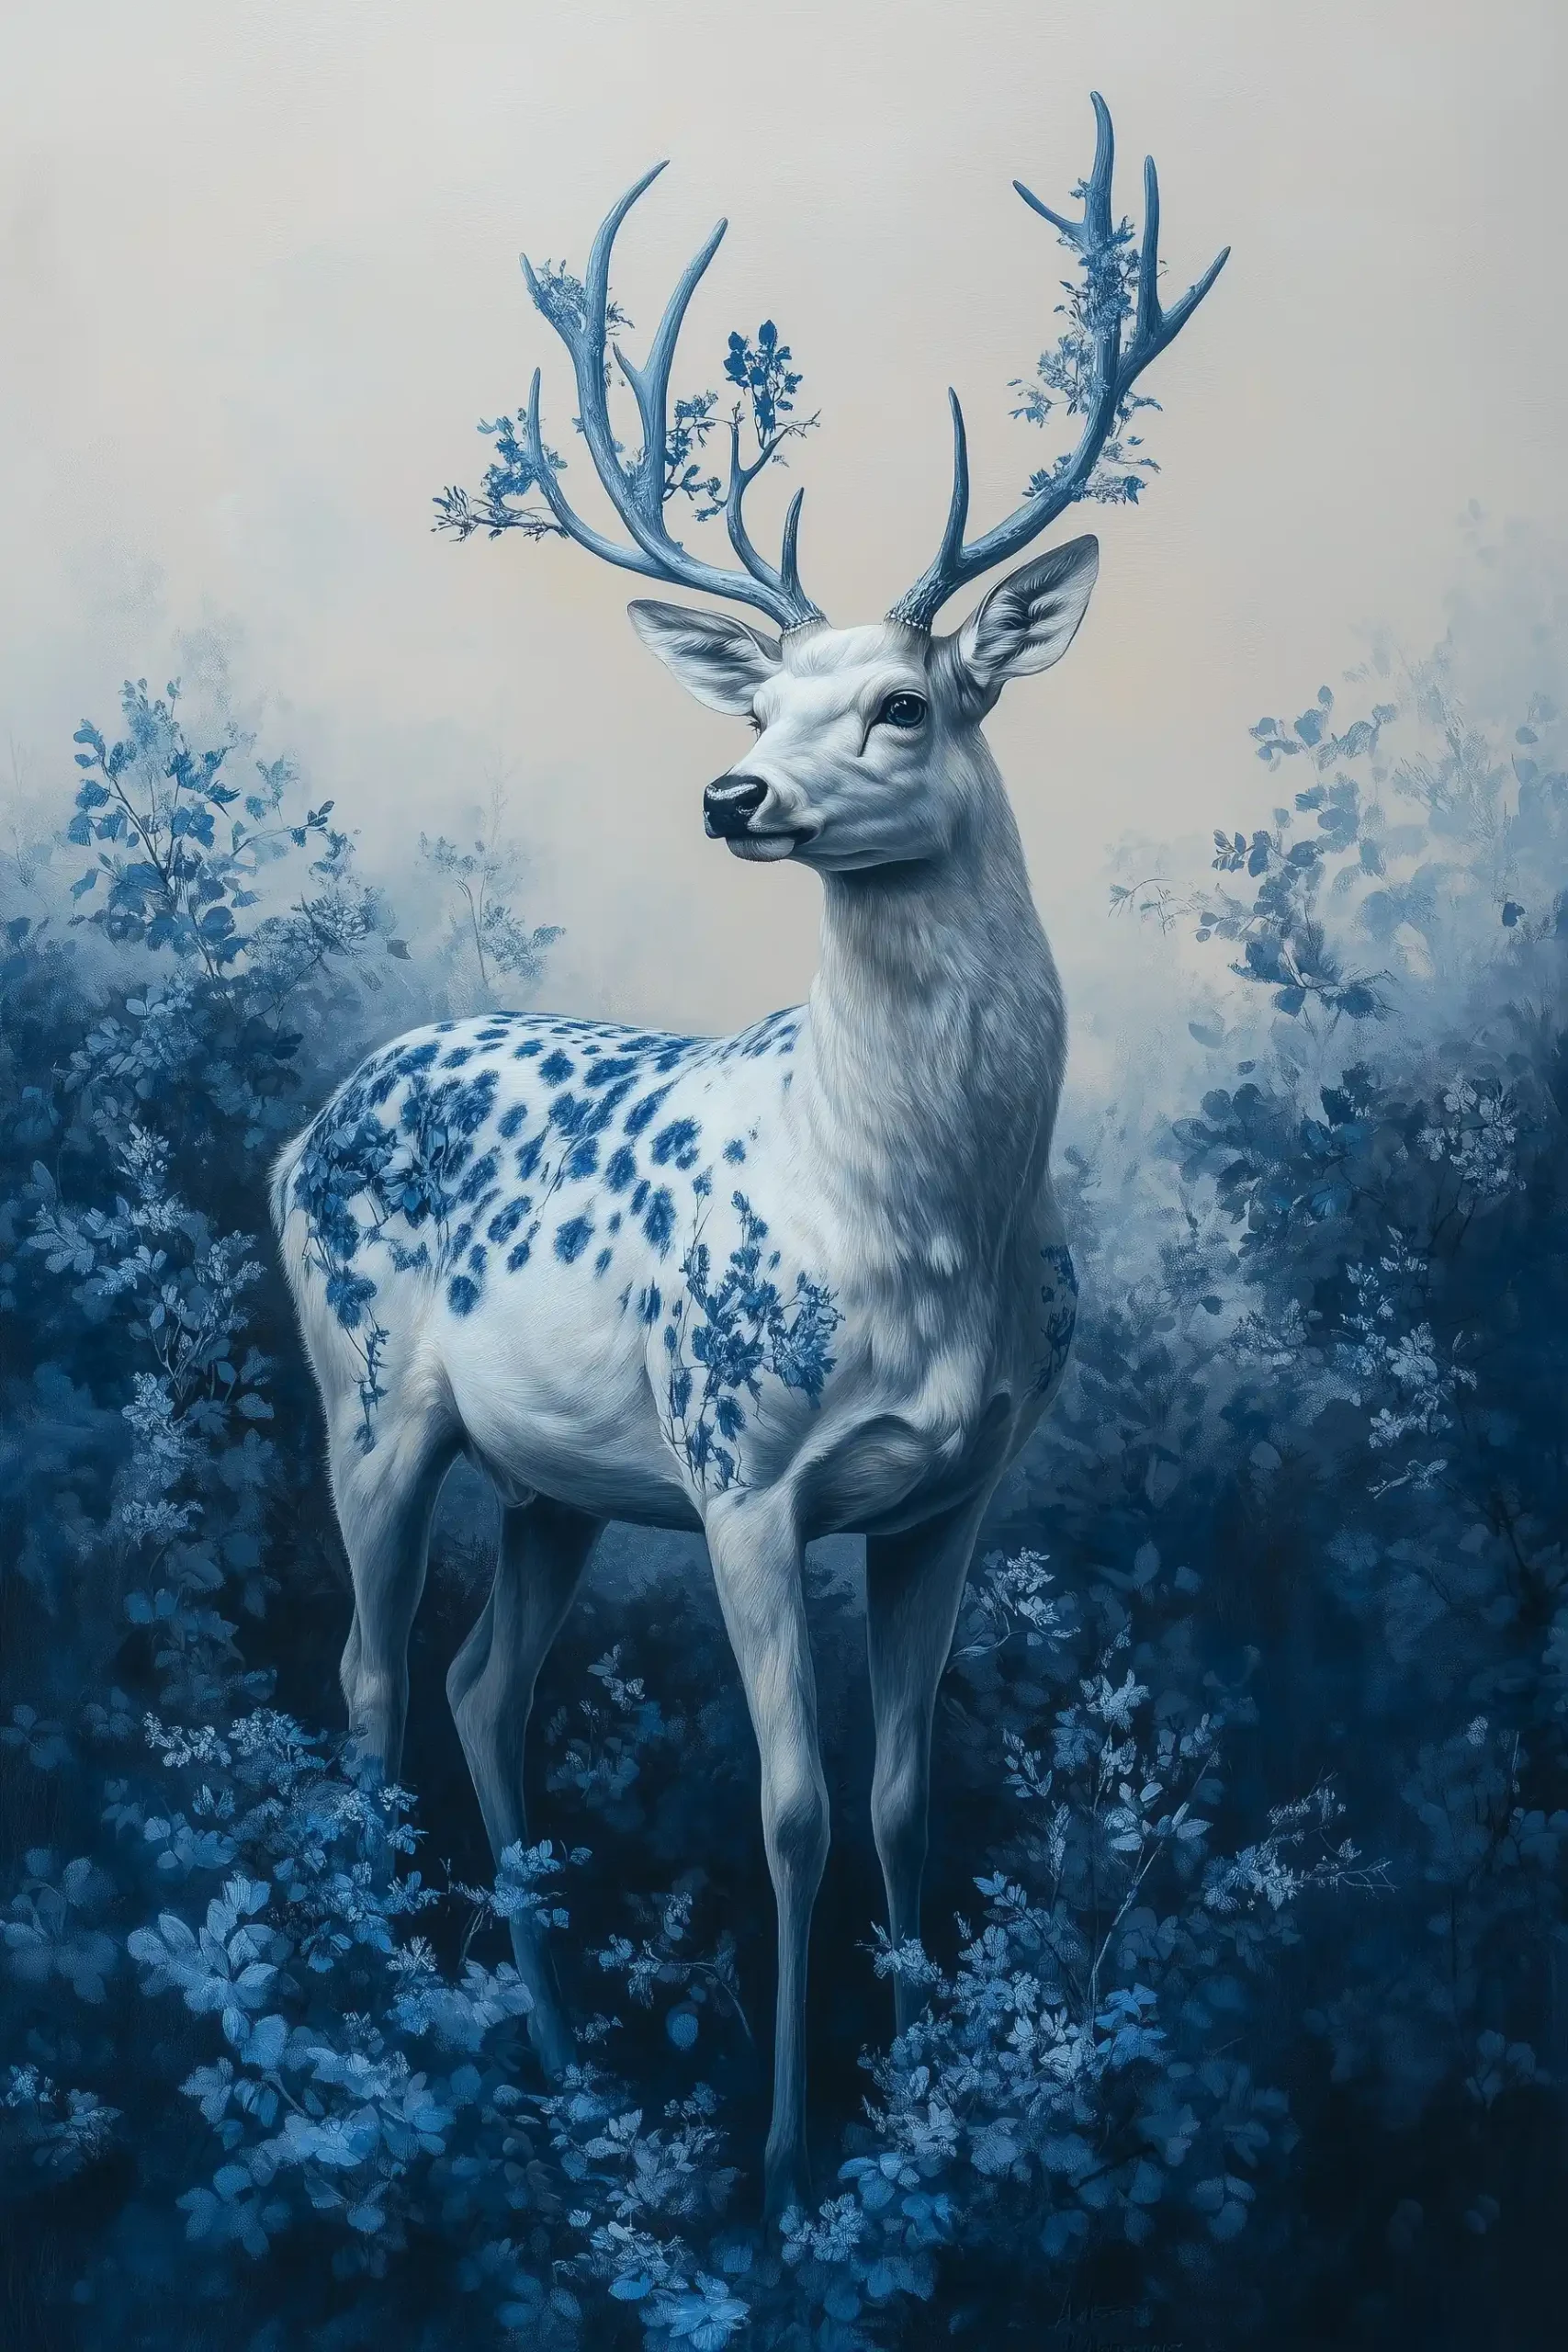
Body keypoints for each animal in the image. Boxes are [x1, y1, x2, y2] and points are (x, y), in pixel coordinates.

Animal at [270, 93, 1226, 2216]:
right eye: (763, 696)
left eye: (902, 699)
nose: (732, 791)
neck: (915, 1222)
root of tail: (312, 1117)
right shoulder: (740, 1468)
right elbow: (784, 1806)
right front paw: (785, 2159)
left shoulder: (959, 1486)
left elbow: (905, 1791)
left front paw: (939, 2097)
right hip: (367, 1393)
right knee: (365, 1680)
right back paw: (390, 2024)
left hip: (554, 1476)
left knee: (479, 1687)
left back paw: (556, 2053)